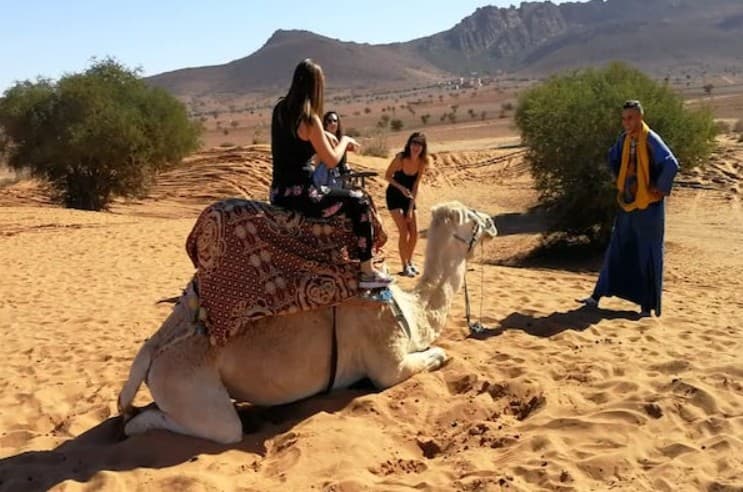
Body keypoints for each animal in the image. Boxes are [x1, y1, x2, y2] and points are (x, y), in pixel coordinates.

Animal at [117, 201, 497, 444]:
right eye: (471, 216)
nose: (492, 222)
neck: (410, 309)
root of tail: (153, 351)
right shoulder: (388, 364)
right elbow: (437, 355)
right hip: (190, 387)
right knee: (214, 427)